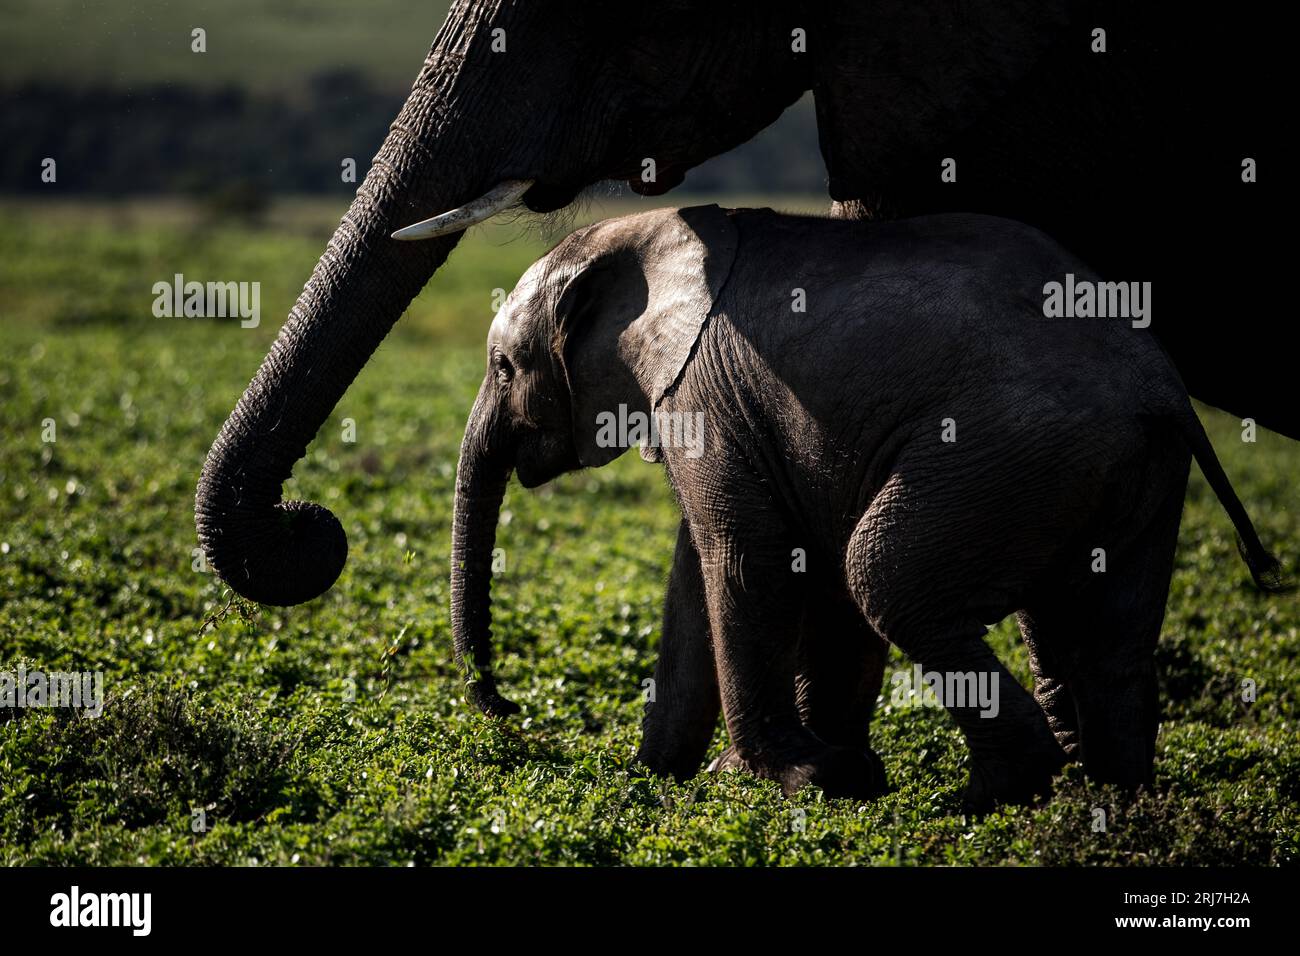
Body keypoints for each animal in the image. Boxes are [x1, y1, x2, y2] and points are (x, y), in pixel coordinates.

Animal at [447, 205, 1279, 811]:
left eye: (502, 366)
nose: (508, 712)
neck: (636, 235)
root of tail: (1163, 385)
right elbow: (697, 577)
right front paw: (663, 779)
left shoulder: (703, 392)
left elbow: (741, 559)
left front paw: (795, 781)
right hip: (1126, 476)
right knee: (1102, 641)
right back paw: (1112, 803)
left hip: (1015, 450)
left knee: (887, 577)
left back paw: (988, 800)